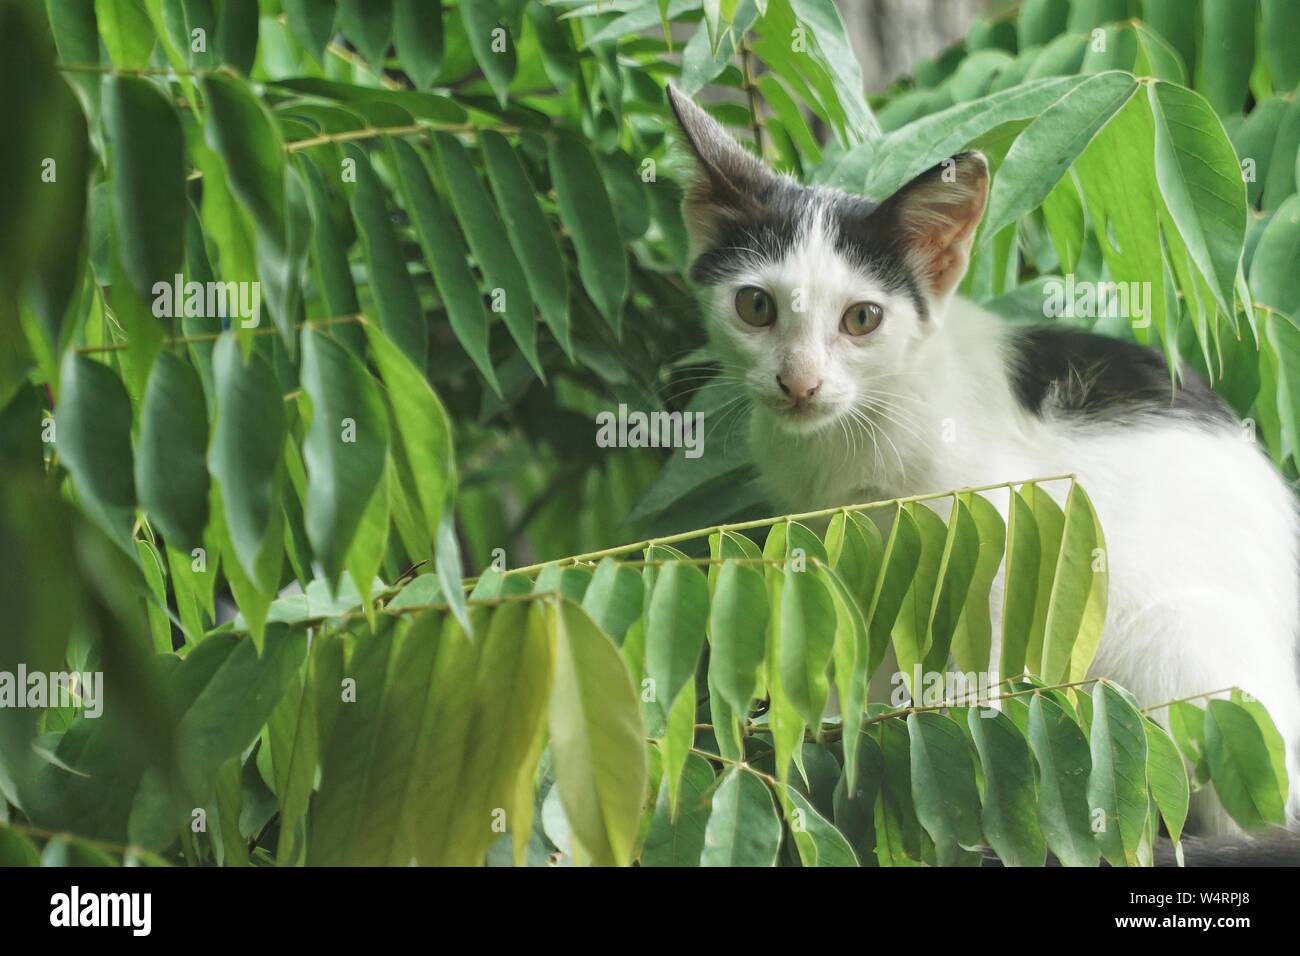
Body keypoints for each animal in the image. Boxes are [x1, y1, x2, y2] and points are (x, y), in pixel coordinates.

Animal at [670, 85, 1300, 842]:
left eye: (862, 320)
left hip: (1189, 650)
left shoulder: (997, 547)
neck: (860, 430)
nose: (800, 384)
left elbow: (974, 672)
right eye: (755, 306)